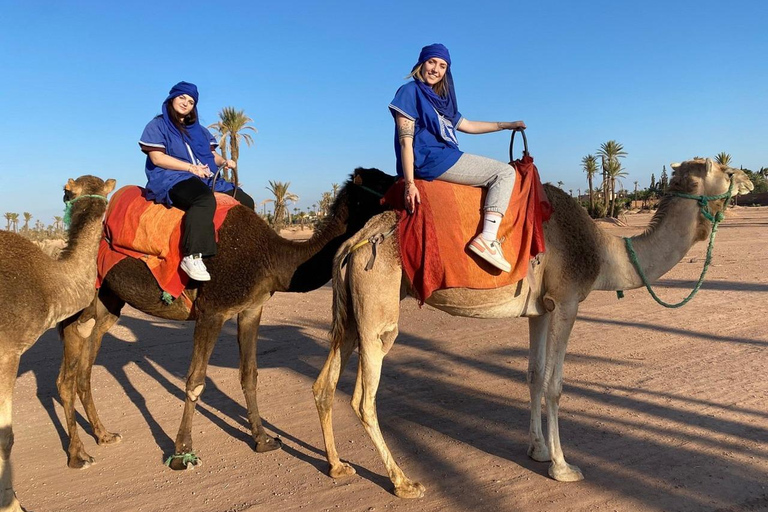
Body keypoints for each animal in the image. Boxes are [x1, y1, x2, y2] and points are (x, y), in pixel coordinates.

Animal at [58, 166, 396, 470]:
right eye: (383, 180)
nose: (406, 185)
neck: (272, 257)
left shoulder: (250, 309)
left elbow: (249, 374)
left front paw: (263, 440)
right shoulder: (212, 311)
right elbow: (195, 381)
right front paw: (182, 453)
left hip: (108, 302)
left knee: (86, 363)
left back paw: (103, 435)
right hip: (86, 299)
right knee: (70, 359)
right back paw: (78, 455)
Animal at [314, 158, 756, 498]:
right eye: (724, 168)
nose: (750, 178)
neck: (604, 252)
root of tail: (353, 242)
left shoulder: (540, 311)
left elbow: (533, 375)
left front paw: (538, 450)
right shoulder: (567, 302)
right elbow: (555, 384)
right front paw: (563, 466)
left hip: (351, 313)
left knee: (325, 384)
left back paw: (337, 466)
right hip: (378, 306)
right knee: (363, 398)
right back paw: (404, 482)